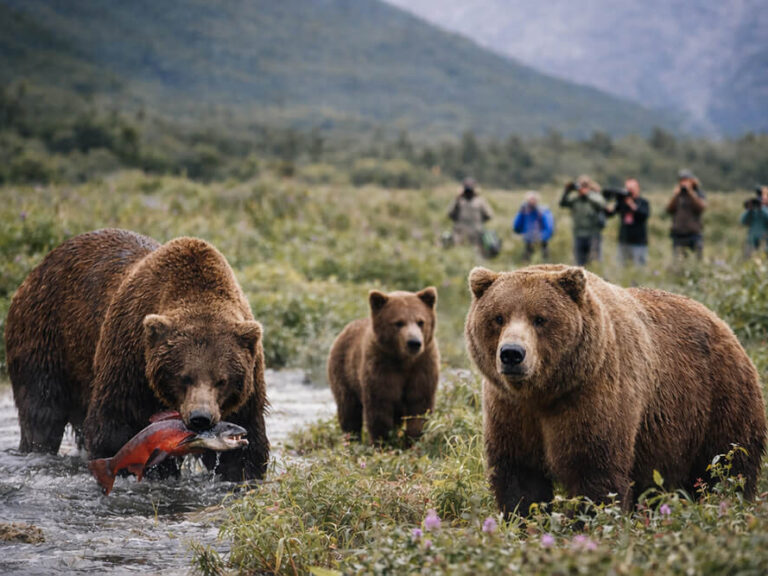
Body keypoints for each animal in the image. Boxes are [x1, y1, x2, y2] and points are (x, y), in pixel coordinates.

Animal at [5, 228, 269, 481]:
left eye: (222, 380)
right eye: (184, 377)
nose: (200, 417)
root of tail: (40, 266)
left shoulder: (248, 386)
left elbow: (247, 447)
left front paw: (241, 475)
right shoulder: (130, 361)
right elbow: (115, 428)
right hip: (46, 338)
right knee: (41, 412)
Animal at [328, 287, 440, 443]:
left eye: (420, 321)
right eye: (398, 322)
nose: (414, 342)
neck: (404, 361)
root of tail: (344, 330)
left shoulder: (423, 366)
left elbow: (420, 405)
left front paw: (411, 439)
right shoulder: (380, 367)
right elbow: (379, 407)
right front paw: (383, 441)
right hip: (344, 371)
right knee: (349, 410)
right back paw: (352, 439)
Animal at [465, 264, 766, 516]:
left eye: (540, 319)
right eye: (498, 317)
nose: (512, 354)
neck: (545, 392)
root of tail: (724, 326)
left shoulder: (594, 395)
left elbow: (595, 470)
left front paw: (587, 523)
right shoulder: (510, 410)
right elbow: (520, 476)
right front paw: (524, 519)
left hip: (718, 402)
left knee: (729, 468)